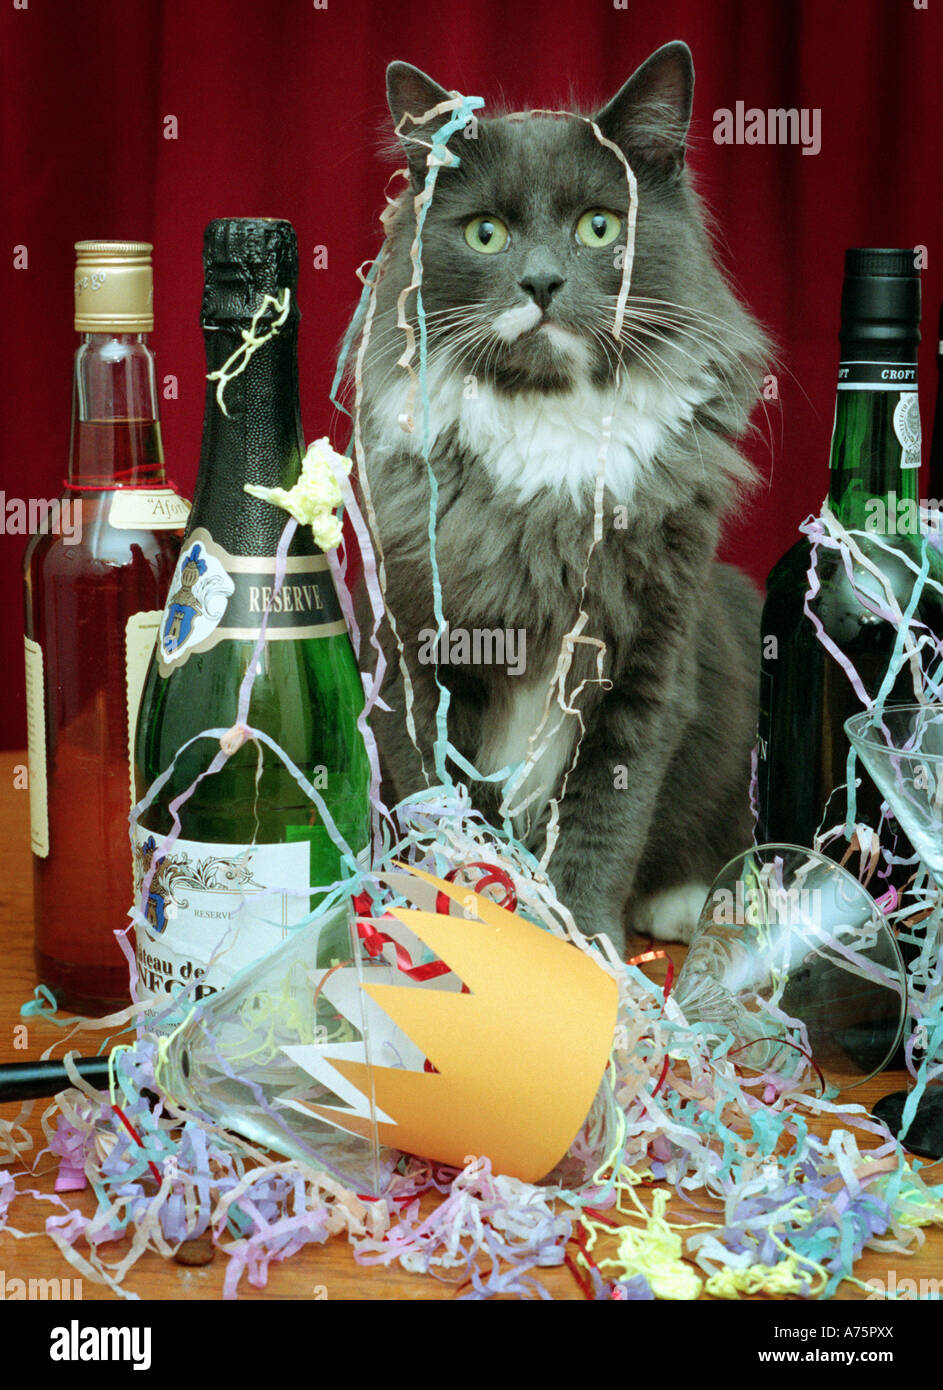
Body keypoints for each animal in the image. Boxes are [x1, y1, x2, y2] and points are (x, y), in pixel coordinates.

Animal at [350, 43, 773, 956]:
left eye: (599, 227)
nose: (540, 282)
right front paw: (454, 934)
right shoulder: (419, 665)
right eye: (486, 233)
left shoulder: (646, 670)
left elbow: (601, 827)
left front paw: (584, 951)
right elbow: (443, 819)